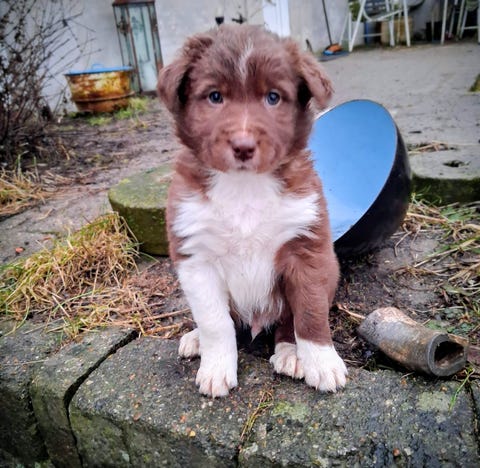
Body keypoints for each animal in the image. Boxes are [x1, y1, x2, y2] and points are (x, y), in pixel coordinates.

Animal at [158, 24, 347, 397]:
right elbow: (216, 322)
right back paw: (195, 338)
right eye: (215, 97)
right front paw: (216, 368)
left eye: (273, 97)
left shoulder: (306, 252)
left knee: (286, 322)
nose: (243, 146)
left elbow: (310, 314)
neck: (244, 187)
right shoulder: (196, 258)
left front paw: (322, 363)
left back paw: (291, 354)